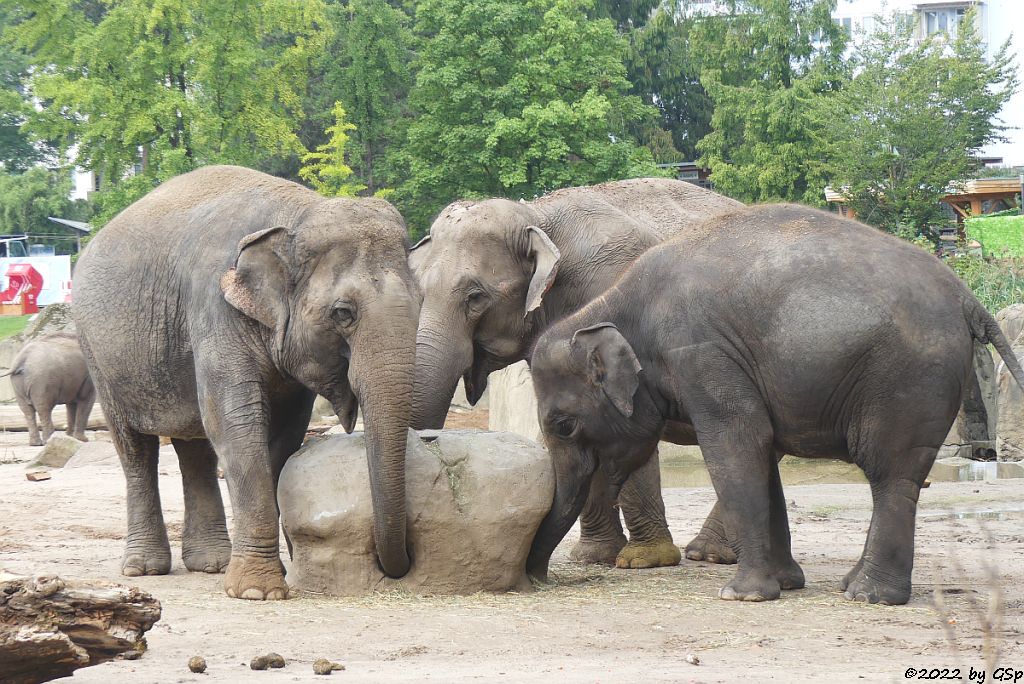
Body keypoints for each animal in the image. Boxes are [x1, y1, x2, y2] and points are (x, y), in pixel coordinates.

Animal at [73, 163, 419, 597]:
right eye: (343, 313)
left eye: (422, 301)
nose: (397, 565)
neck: (298, 213)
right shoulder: (215, 308)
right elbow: (237, 425)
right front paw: (259, 592)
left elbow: (283, 433)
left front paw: (275, 571)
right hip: (97, 355)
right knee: (135, 448)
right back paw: (144, 568)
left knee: (195, 446)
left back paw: (211, 564)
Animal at [407, 176, 745, 565]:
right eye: (420, 293)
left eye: (475, 297)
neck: (537, 216)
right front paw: (593, 557)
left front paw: (643, 560)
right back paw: (708, 552)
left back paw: (708, 554)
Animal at [528, 202, 1024, 602]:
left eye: (564, 426)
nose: (537, 577)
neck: (610, 306)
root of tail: (967, 296)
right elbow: (762, 452)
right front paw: (785, 584)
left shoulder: (702, 354)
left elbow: (736, 447)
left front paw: (742, 596)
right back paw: (851, 585)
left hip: (908, 379)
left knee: (891, 475)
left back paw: (868, 596)